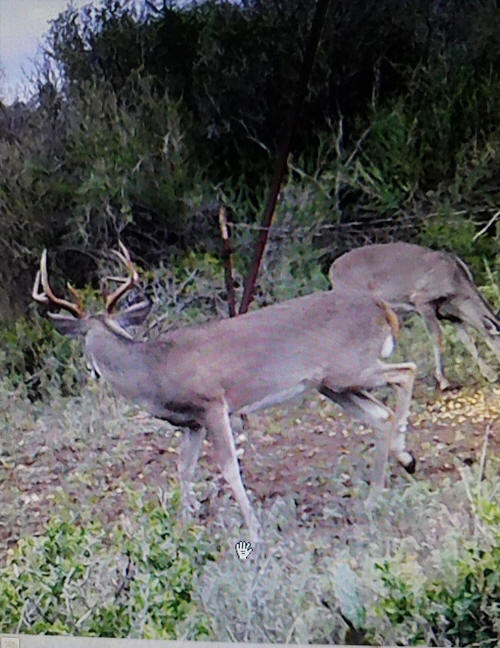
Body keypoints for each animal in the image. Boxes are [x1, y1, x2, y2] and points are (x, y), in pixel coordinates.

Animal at [33, 243, 417, 543]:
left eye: (84, 341)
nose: (91, 371)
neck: (153, 370)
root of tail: (382, 307)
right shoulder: (192, 423)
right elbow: (184, 469)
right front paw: (184, 524)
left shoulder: (213, 403)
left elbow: (229, 467)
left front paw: (254, 531)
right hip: (333, 384)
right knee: (380, 413)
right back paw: (383, 485)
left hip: (349, 367)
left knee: (406, 372)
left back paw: (397, 465)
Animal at [329, 241, 500, 390]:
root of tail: (332, 272)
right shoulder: (421, 301)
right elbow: (436, 338)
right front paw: (443, 381)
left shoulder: (452, 315)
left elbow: (467, 340)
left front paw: (490, 375)